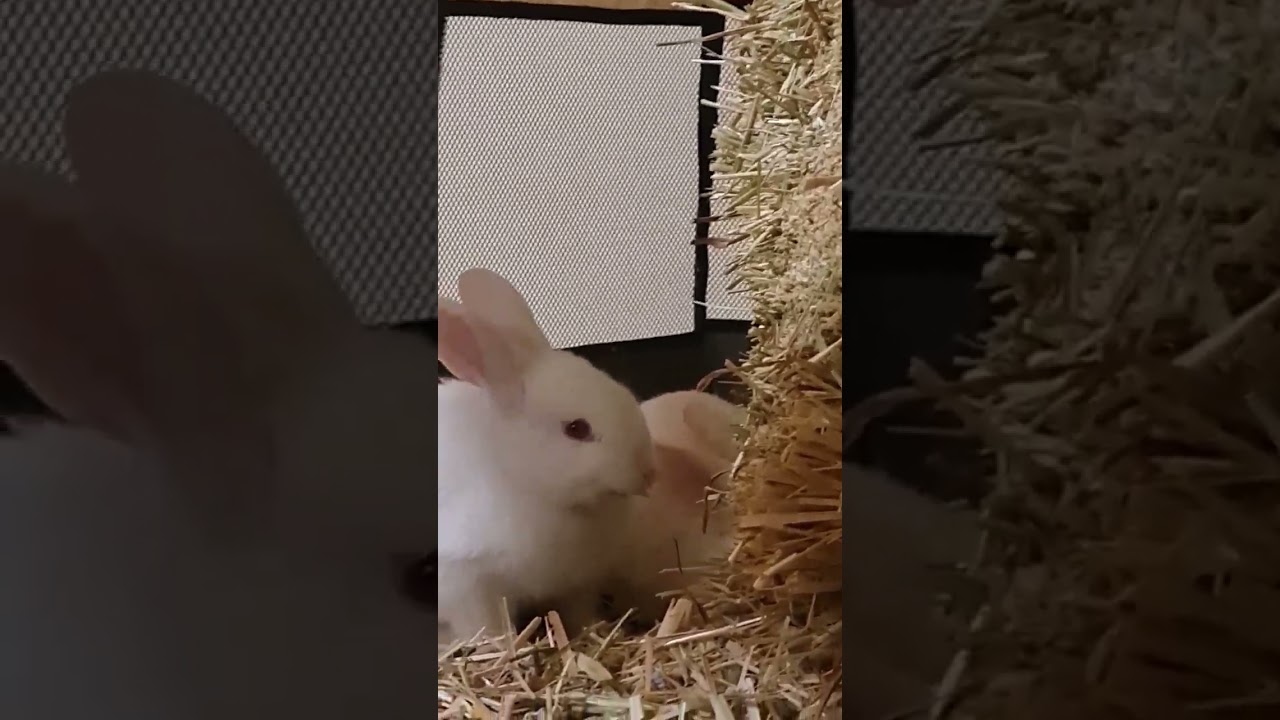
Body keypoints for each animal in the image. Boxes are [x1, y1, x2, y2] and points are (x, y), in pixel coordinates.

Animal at [434, 268, 659, 644]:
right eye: (576, 429)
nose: (648, 473)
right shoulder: (467, 580)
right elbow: (486, 626)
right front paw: (505, 646)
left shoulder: (577, 585)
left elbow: (578, 614)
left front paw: (595, 631)